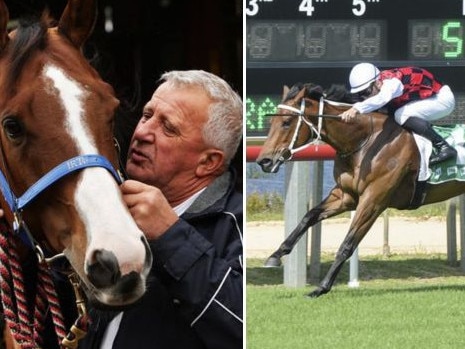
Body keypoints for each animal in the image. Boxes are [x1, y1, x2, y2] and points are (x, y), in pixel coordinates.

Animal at [256, 83, 464, 298]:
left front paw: (322, 287)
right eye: (271, 121)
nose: (264, 161)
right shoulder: (345, 196)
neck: (365, 141)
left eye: (286, 122)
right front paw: (275, 255)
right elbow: (309, 216)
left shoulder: (373, 201)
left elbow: (348, 244)